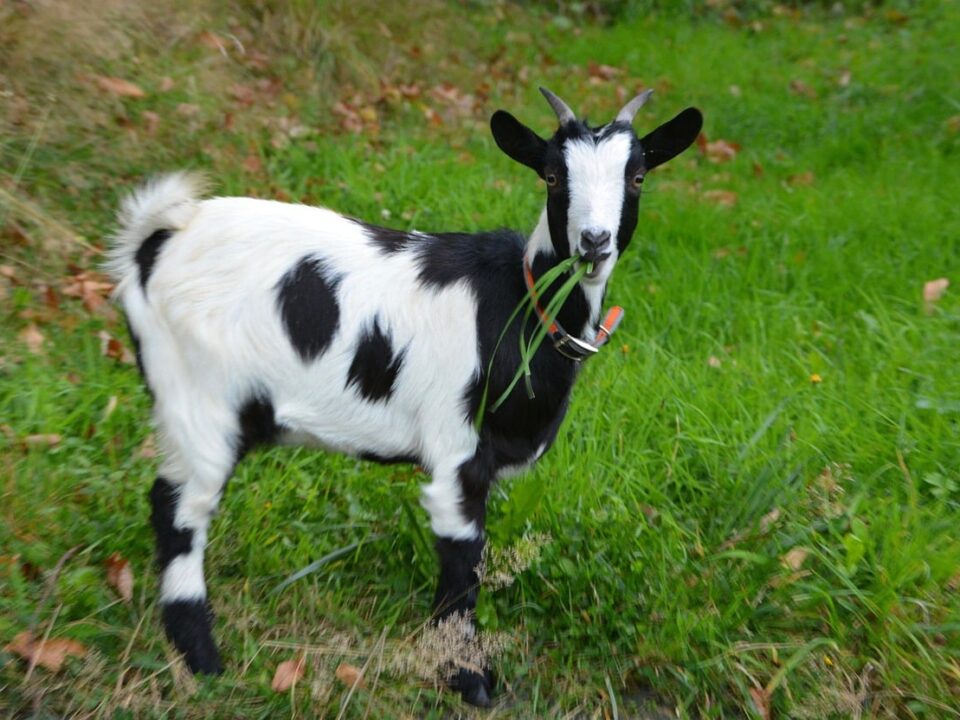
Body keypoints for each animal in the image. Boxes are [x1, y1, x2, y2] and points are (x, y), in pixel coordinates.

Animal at [108, 88, 702, 706]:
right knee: (179, 509)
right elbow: (464, 562)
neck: (518, 308)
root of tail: (156, 240)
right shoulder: (456, 453)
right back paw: (200, 657)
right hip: (198, 397)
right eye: (552, 175)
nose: (593, 242)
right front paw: (465, 677)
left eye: (637, 176)